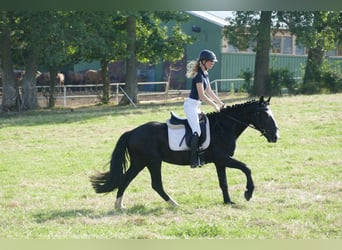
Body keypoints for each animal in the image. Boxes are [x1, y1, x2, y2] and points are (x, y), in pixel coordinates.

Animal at [89, 96, 280, 208]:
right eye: (265, 115)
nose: (275, 136)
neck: (225, 127)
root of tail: (132, 132)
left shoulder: (220, 161)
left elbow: (223, 183)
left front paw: (228, 202)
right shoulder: (223, 158)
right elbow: (246, 168)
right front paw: (248, 193)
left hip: (143, 162)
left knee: (128, 180)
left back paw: (120, 205)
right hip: (150, 161)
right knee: (152, 184)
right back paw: (173, 204)